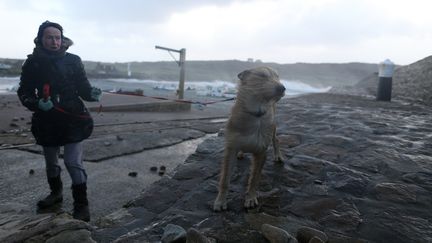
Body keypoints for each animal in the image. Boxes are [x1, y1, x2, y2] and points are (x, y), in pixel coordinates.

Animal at [213, 66, 286, 211]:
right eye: (262, 75)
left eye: (278, 77)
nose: (282, 88)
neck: (256, 113)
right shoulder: (231, 148)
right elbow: (225, 178)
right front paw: (221, 200)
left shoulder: (261, 150)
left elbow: (254, 178)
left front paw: (251, 197)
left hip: (273, 126)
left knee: (276, 139)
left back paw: (278, 155)